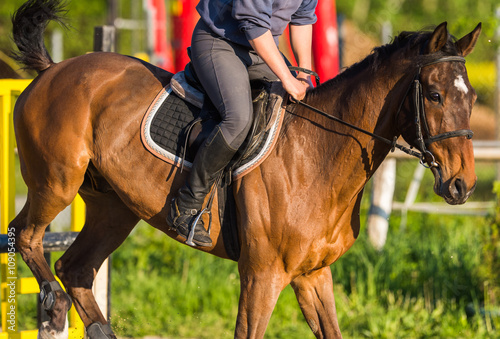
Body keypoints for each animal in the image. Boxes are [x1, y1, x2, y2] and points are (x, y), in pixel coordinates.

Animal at [9, 1, 480, 338]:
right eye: (435, 95)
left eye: (472, 96)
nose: (462, 185)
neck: (319, 155)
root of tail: (53, 70)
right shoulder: (261, 275)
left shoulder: (313, 275)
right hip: (56, 181)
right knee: (26, 236)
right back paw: (51, 300)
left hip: (114, 208)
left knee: (76, 268)